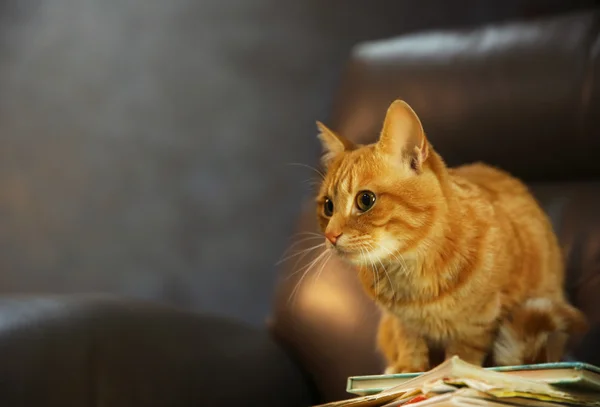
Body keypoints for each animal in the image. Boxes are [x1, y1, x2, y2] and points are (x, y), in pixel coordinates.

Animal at [316, 99, 588, 372]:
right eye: (328, 206)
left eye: (365, 200)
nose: (330, 235)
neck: (412, 272)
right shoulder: (401, 322)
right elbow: (409, 343)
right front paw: (409, 369)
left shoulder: (480, 322)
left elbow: (462, 355)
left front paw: (453, 369)